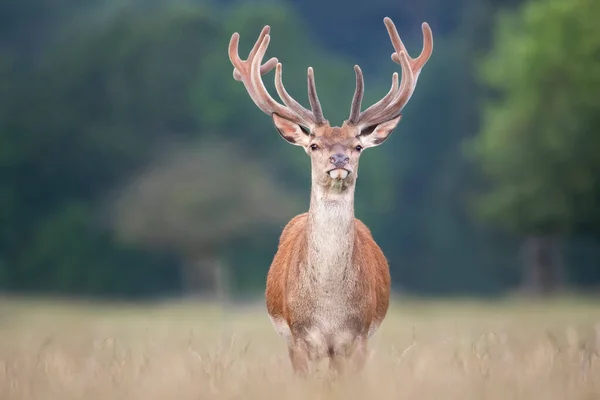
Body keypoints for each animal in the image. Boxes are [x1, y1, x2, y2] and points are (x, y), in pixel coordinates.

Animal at [229, 17, 432, 376]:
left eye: (358, 145)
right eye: (314, 145)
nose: (339, 160)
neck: (328, 310)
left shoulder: (358, 338)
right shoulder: (298, 338)